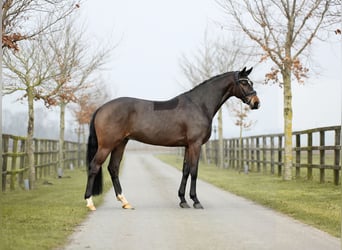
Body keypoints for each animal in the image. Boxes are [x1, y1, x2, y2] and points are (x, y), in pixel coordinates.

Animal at [85, 67, 260, 211]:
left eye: (251, 82)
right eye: (244, 82)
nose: (256, 103)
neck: (199, 105)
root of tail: (101, 108)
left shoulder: (188, 146)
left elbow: (185, 171)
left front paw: (183, 200)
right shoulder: (195, 144)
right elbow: (194, 171)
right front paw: (196, 201)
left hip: (120, 143)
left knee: (113, 168)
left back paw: (125, 202)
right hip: (107, 145)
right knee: (94, 166)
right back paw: (90, 202)